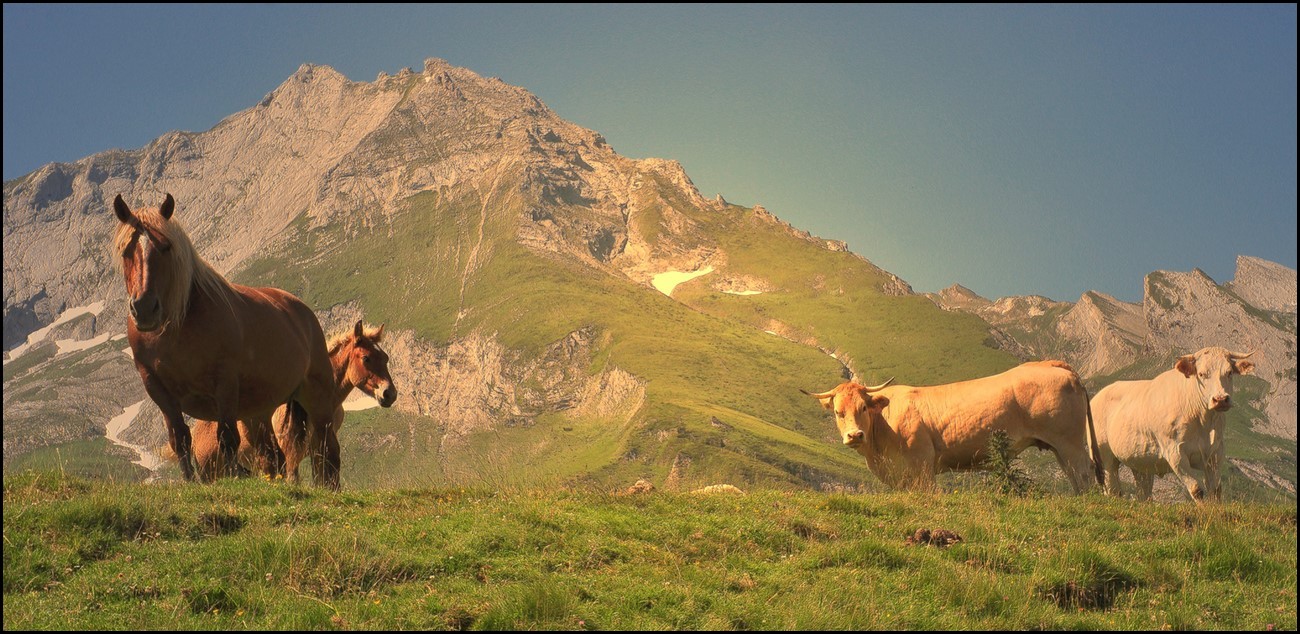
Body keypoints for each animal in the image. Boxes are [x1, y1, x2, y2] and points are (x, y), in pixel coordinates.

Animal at [112, 194, 343, 491]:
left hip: (316, 396)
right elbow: (180, 439)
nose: (143, 308)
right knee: (277, 456)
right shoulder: (157, 387)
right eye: (126, 250)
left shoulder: (225, 384)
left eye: (165, 247)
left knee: (327, 450)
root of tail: (301, 310)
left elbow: (227, 438)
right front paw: (190, 481)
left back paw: (330, 488)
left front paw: (234, 476)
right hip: (260, 412)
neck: (176, 328)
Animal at [189, 319, 397, 483]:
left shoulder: (318, 448)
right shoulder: (291, 453)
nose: (389, 394)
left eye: (385, 357)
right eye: (366, 358)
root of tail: (196, 430)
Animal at [806, 361, 1102, 491]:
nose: (855, 435)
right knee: (1075, 477)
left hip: (1070, 442)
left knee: (1084, 474)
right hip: (1059, 447)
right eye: (837, 412)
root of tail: (1053, 364)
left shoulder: (922, 465)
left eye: (863, 408)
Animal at [1092, 345, 1253, 501]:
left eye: (1229, 372)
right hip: (1104, 454)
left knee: (1143, 493)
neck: (1203, 423)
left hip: (1141, 461)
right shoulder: (1175, 452)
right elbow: (1196, 489)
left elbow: (1215, 490)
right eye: (1201, 374)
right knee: (1112, 489)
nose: (1220, 399)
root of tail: (1098, 395)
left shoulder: (1216, 452)